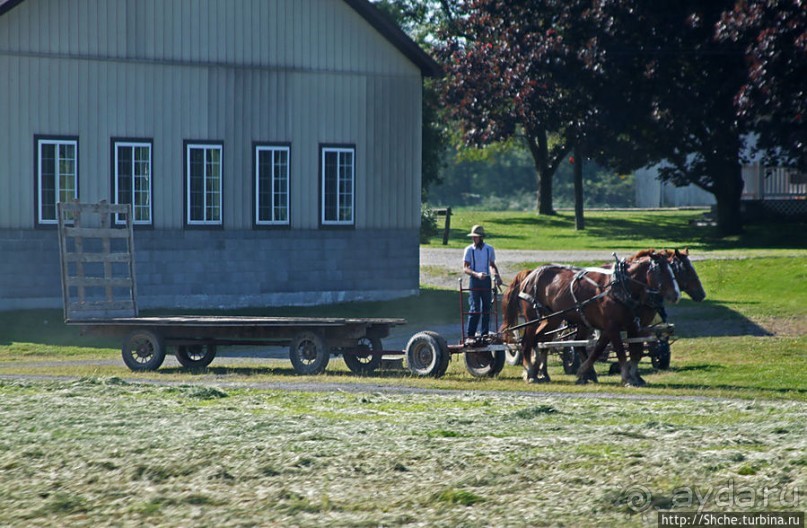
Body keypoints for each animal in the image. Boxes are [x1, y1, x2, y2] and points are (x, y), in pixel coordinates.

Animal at [504, 250, 680, 386]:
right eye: (661, 271)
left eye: (673, 269)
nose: (676, 294)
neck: (620, 286)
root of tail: (530, 274)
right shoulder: (612, 326)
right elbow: (619, 351)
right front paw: (627, 377)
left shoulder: (631, 326)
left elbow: (627, 350)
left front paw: (586, 372)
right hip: (533, 318)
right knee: (528, 341)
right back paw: (530, 372)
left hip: (553, 319)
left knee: (541, 341)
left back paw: (538, 372)